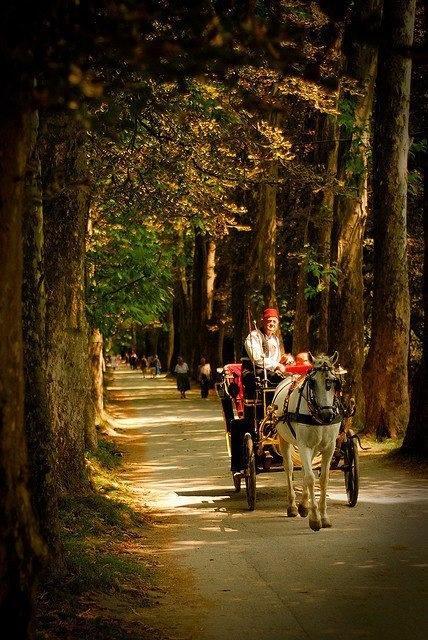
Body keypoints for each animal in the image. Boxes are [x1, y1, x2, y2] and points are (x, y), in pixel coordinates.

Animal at [272, 352, 342, 528]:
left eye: (334, 381)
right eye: (312, 382)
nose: (327, 415)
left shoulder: (329, 447)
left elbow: (323, 479)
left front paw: (323, 516)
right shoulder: (303, 445)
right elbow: (310, 478)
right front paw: (315, 518)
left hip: (315, 447)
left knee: (305, 469)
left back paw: (303, 505)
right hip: (284, 439)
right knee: (289, 468)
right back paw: (293, 506)